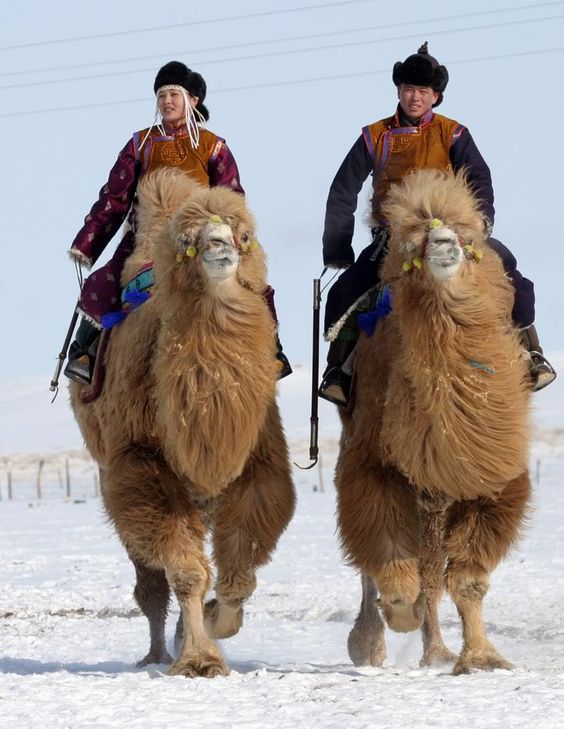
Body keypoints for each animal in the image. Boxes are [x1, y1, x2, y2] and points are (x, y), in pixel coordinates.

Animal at [70, 166, 296, 676]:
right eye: (189, 240)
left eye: (243, 234)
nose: (220, 246)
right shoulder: (141, 463)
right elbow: (188, 572)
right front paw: (199, 659)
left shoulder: (255, 459)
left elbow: (242, 565)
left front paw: (218, 621)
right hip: (117, 478)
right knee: (150, 581)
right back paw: (157, 652)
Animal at [338, 168, 532, 672]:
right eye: (414, 242)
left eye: (466, 237)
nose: (443, 243)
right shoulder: (375, 462)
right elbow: (388, 556)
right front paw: (395, 619)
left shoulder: (493, 476)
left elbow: (467, 581)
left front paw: (481, 657)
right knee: (390, 565)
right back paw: (375, 643)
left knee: (431, 567)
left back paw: (437, 652)